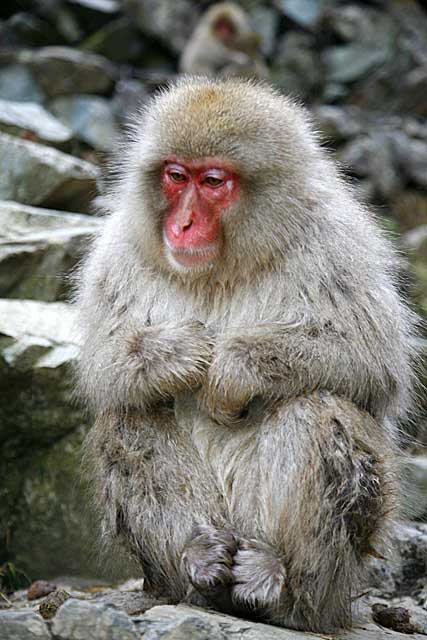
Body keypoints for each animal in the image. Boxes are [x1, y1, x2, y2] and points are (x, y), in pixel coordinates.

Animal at [75, 79, 416, 632]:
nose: (183, 223)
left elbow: (371, 358)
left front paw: (232, 367)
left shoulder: (338, 243)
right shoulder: (118, 249)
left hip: (331, 555)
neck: (223, 268)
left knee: (317, 410)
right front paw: (180, 353)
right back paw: (198, 558)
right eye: (176, 176)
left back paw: (281, 582)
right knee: (129, 416)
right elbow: (104, 364)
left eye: (213, 181)